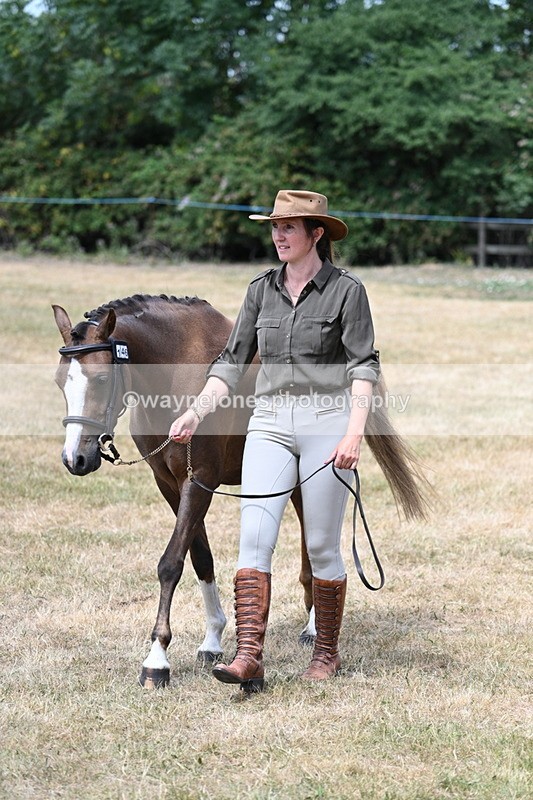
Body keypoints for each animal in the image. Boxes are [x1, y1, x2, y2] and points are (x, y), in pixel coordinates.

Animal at [53, 293, 428, 689]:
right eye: (60, 381)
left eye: (101, 378)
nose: (76, 458)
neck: (175, 370)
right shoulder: (169, 484)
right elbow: (200, 557)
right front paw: (213, 639)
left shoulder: (198, 480)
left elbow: (171, 563)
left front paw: (157, 659)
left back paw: (314, 628)